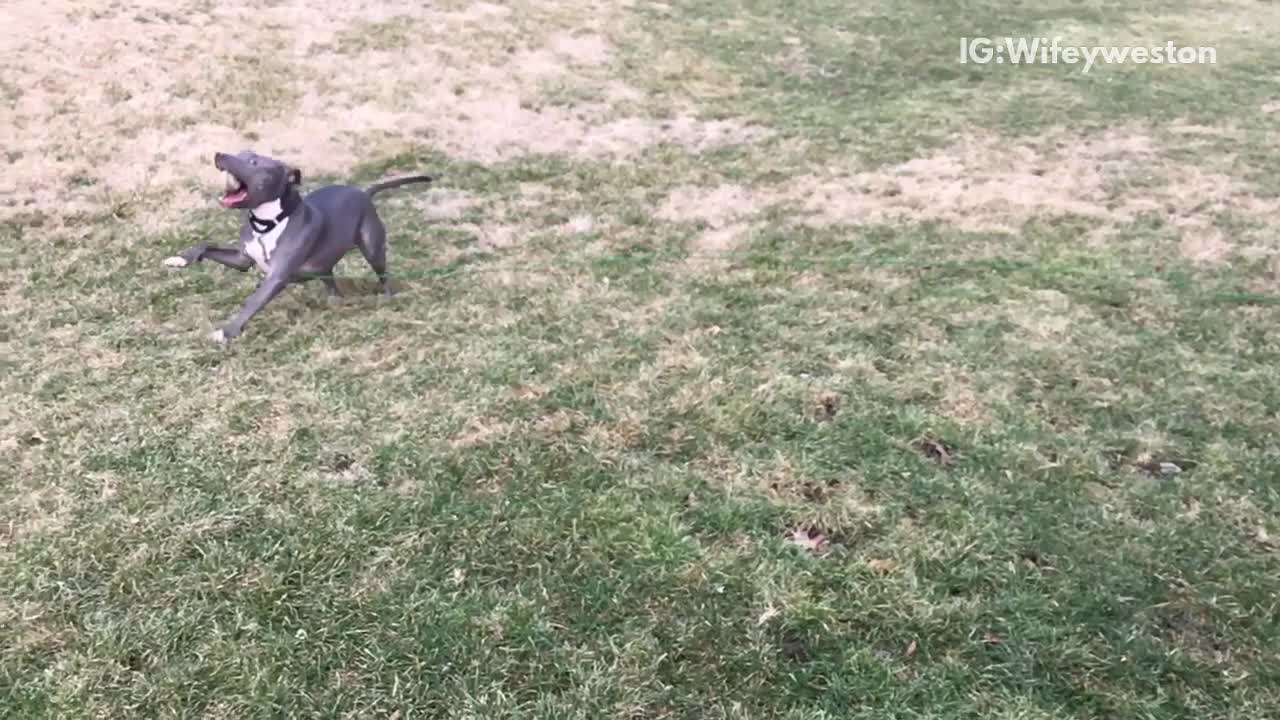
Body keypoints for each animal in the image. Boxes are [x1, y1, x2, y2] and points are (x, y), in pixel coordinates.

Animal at [165, 149, 432, 340]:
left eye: (253, 161)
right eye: (239, 152)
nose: (218, 155)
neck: (268, 224)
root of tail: (364, 192)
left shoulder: (277, 276)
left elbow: (253, 300)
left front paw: (228, 332)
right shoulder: (242, 260)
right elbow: (206, 246)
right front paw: (180, 259)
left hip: (372, 248)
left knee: (383, 275)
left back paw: (387, 298)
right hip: (327, 264)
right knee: (331, 282)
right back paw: (336, 301)